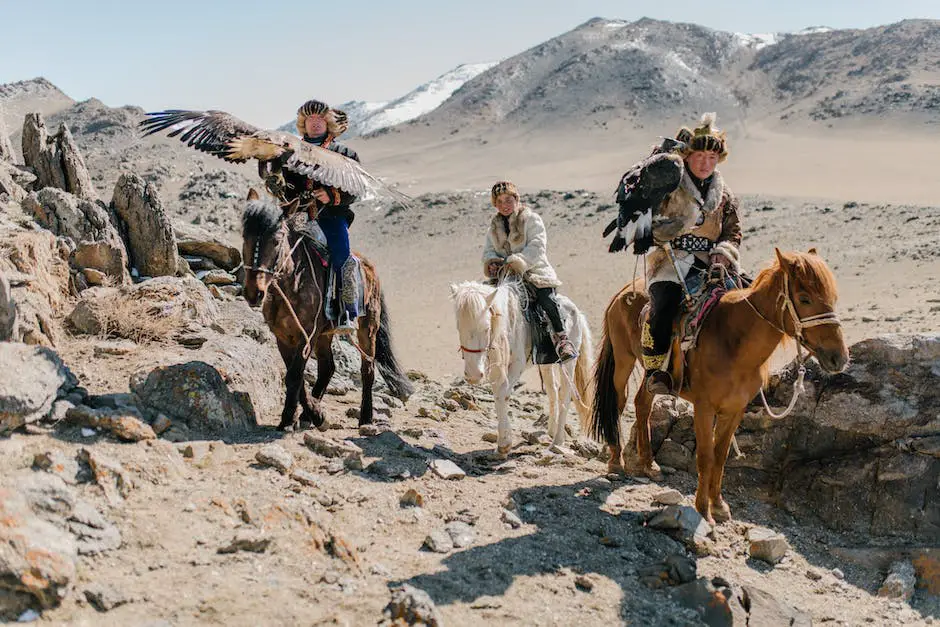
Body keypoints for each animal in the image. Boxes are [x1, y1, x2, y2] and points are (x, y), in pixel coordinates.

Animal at [239, 193, 412, 432]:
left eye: (276, 240)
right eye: (245, 237)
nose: (254, 293)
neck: (293, 282)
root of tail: (370, 267)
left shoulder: (306, 335)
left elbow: (295, 376)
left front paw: (295, 418)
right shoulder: (283, 337)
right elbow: (295, 376)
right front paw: (306, 414)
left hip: (368, 328)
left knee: (367, 369)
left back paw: (365, 418)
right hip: (325, 335)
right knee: (327, 367)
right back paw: (308, 415)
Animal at [450, 280, 596, 456]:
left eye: (486, 328)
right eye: (458, 327)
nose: (473, 375)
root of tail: (577, 312)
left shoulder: (516, 364)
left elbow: (502, 394)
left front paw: (504, 445)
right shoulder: (496, 366)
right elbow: (498, 393)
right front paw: (502, 445)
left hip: (568, 363)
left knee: (565, 395)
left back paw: (557, 441)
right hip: (546, 363)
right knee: (553, 390)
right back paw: (551, 431)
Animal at [588, 248, 844, 524]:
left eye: (833, 297)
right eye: (805, 298)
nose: (839, 358)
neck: (734, 341)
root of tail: (625, 290)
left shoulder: (734, 410)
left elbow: (720, 457)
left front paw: (719, 506)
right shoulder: (704, 407)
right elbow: (705, 457)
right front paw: (703, 510)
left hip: (651, 375)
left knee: (642, 403)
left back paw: (649, 464)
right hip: (623, 359)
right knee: (618, 401)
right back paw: (616, 460)